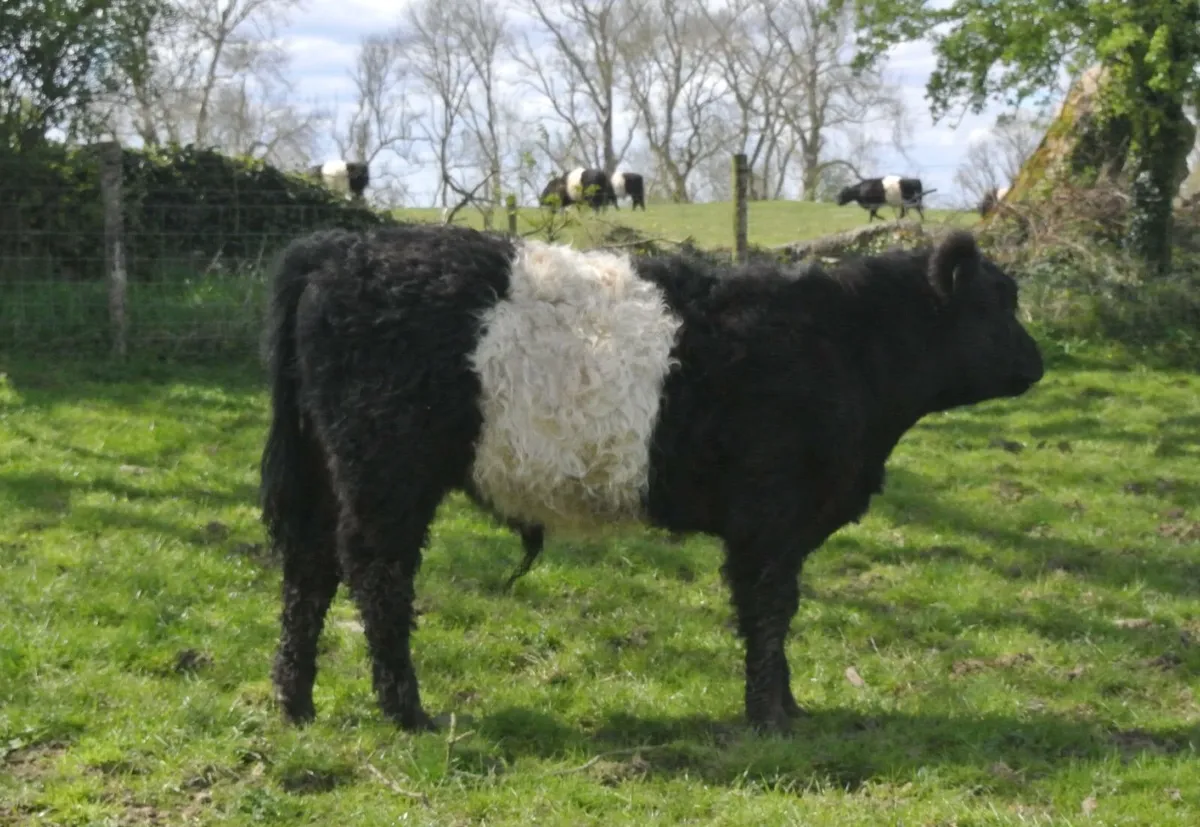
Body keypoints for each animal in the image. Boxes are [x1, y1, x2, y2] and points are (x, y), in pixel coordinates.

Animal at [260, 222, 1044, 735]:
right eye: (1001, 301)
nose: (1038, 363)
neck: (847, 343)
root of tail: (341, 247)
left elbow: (775, 611)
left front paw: (789, 706)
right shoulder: (770, 514)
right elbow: (769, 608)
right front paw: (770, 717)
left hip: (329, 471)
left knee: (309, 572)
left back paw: (296, 703)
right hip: (386, 471)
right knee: (377, 576)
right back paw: (407, 711)